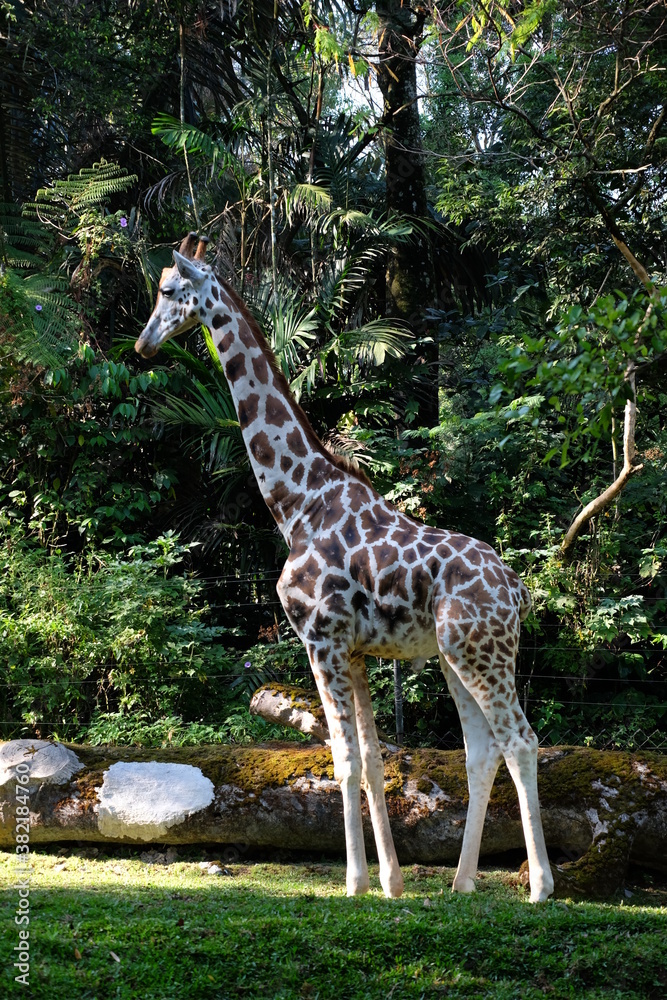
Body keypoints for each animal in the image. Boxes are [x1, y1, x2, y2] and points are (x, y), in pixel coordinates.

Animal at [135, 233, 554, 903]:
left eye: (170, 290)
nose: (144, 344)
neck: (295, 502)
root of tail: (517, 591)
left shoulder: (321, 639)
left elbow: (344, 759)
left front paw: (355, 881)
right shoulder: (355, 651)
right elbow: (376, 761)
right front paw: (391, 882)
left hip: (483, 654)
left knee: (520, 740)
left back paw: (539, 887)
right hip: (455, 657)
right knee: (480, 751)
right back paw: (462, 882)